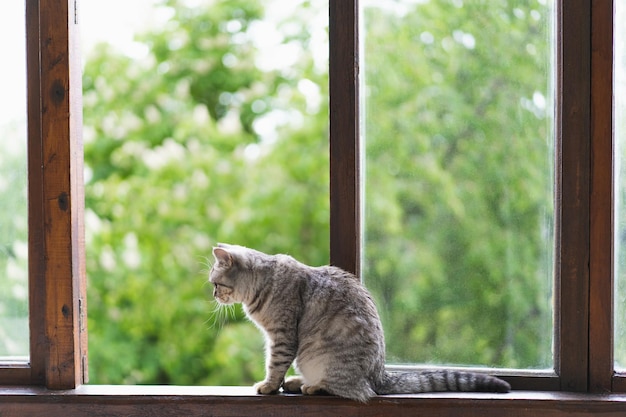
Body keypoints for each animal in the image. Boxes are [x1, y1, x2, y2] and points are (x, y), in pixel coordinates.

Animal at [207, 242, 510, 402]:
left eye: (215, 283)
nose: (212, 294)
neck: (264, 283)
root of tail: (380, 375)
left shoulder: (281, 337)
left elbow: (274, 364)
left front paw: (269, 386)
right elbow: (276, 365)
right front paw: (276, 384)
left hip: (321, 358)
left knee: (352, 390)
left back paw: (311, 385)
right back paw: (296, 382)